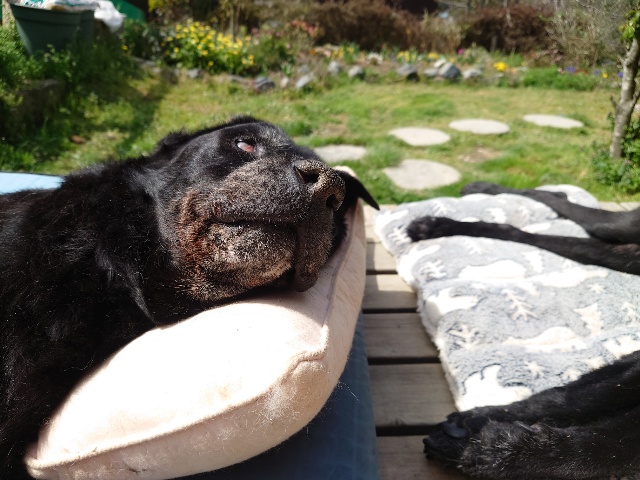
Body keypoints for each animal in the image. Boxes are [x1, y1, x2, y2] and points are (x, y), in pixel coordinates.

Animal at [407, 182, 640, 479]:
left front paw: (486, 451)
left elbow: (604, 446)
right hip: (620, 228)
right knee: (541, 216)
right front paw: (474, 423)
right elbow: (573, 398)